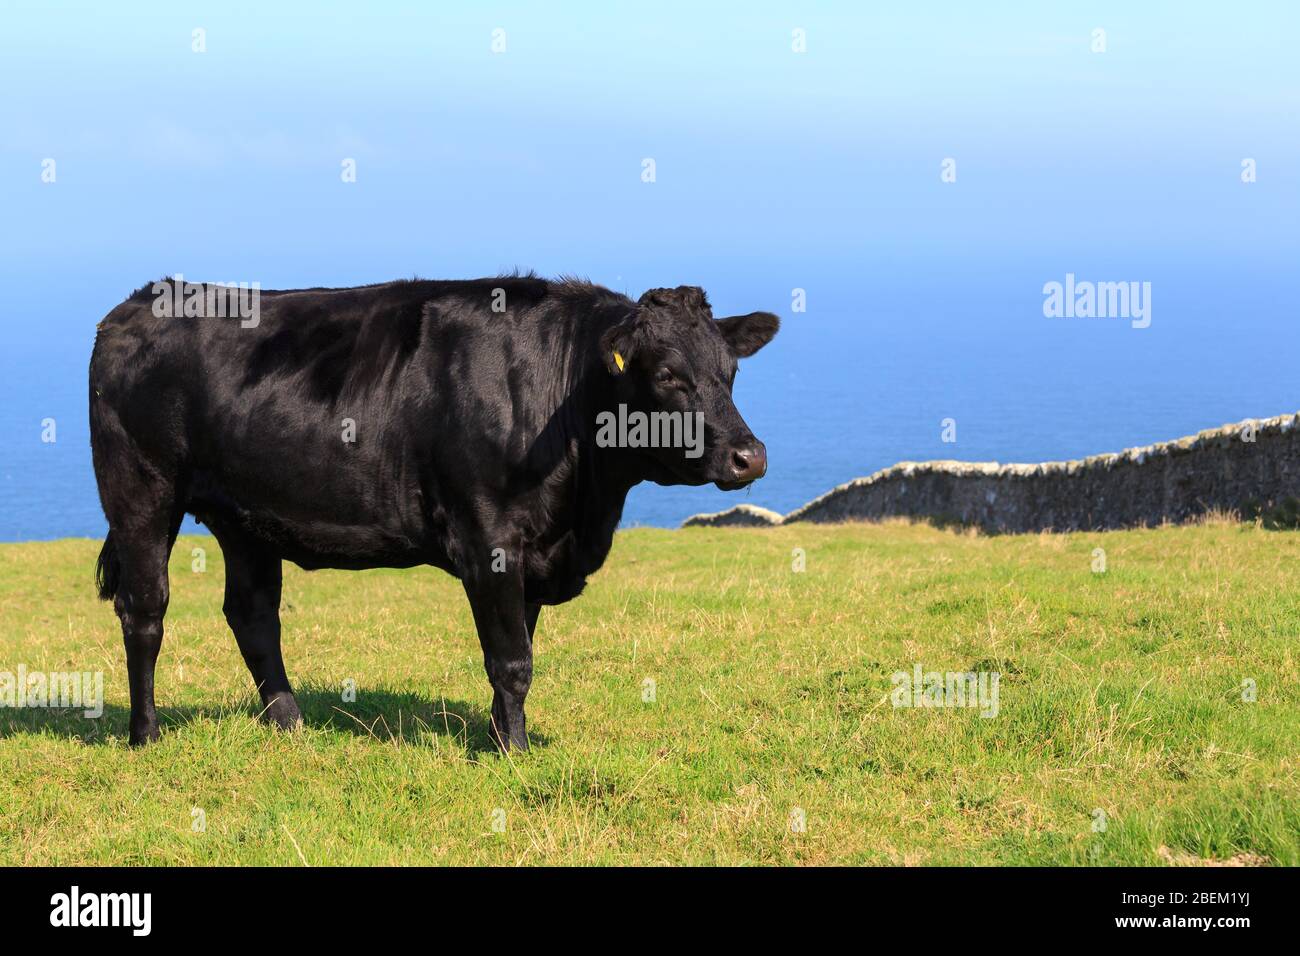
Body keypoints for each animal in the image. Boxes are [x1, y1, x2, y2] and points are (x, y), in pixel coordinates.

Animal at [89, 276, 778, 751]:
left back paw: (289, 723)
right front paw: (515, 753)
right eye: (667, 375)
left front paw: (501, 736)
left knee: (253, 615)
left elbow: (518, 650)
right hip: (142, 491)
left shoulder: (534, 550)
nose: (750, 456)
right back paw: (146, 735)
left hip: (244, 517)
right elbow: (511, 660)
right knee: (145, 609)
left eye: (730, 371)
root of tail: (139, 302)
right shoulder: (488, 538)